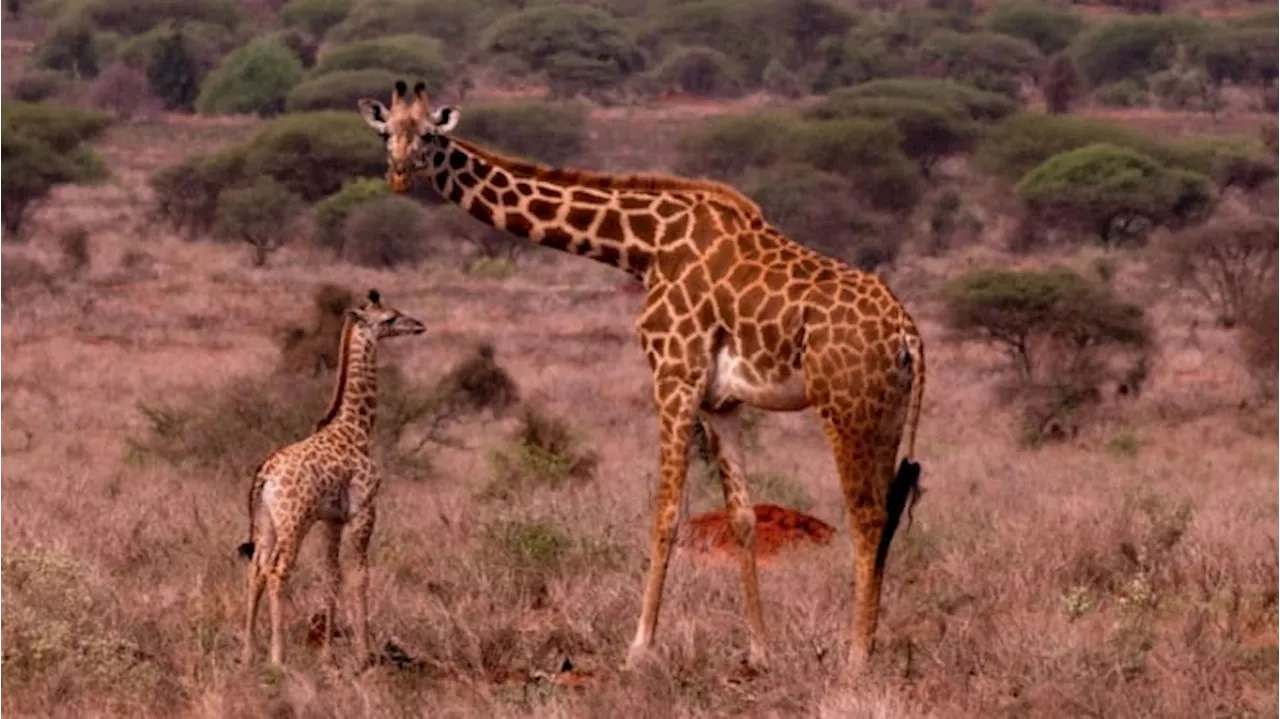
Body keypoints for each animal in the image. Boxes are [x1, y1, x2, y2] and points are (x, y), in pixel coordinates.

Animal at [235, 286, 424, 665]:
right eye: (390, 318)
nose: (419, 325)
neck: (356, 428)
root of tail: (265, 475)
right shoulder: (364, 509)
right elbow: (360, 575)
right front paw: (364, 654)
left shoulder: (331, 519)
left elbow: (331, 576)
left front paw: (327, 654)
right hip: (293, 520)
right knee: (277, 570)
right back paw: (277, 656)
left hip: (266, 523)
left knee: (255, 570)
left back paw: (248, 653)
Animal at [355, 81, 926, 675]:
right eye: (384, 132)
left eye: (428, 134)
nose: (398, 173)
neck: (644, 245)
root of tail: (908, 333)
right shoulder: (720, 401)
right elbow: (742, 516)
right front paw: (759, 652)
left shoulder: (673, 374)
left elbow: (666, 513)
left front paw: (639, 648)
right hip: (884, 409)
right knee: (885, 514)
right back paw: (866, 646)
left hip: (846, 404)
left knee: (866, 515)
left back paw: (856, 658)